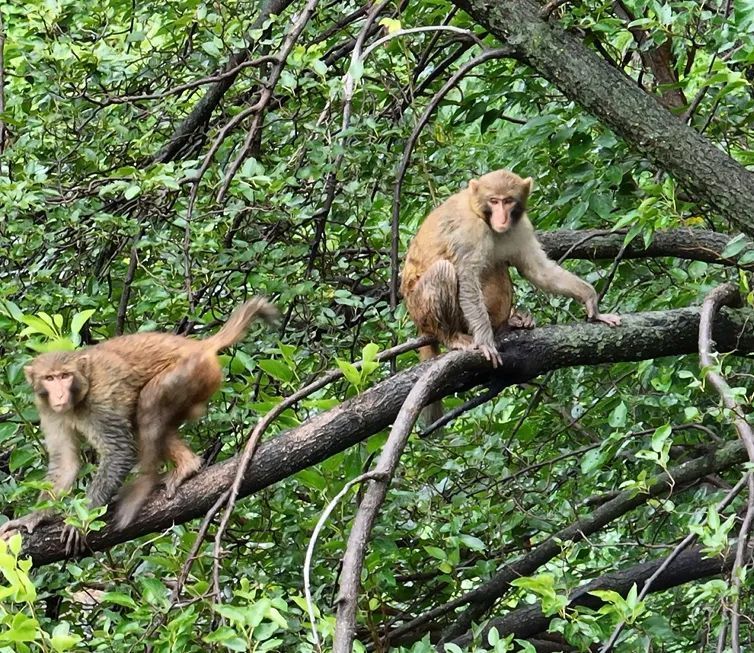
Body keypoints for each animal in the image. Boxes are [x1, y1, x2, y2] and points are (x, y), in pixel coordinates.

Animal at [0, 298, 276, 552]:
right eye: (49, 378)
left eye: (65, 376)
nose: (59, 395)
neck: (80, 395)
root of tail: (200, 345)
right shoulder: (48, 410)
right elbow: (66, 463)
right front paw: (33, 518)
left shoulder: (99, 404)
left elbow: (119, 452)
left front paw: (83, 518)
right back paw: (186, 464)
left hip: (191, 373)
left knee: (148, 405)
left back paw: (150, 483)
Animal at [400, 168, 616, 422]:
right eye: (494, 201)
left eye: (508, 201)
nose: (502, 218)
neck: (480, 213)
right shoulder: (470, 231)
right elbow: (467, 277)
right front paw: (485, 341)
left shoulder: (521, 226)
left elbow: (538, 269)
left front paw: (592, 301)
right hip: (420, 310)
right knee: (445, 270)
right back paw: (453, 336)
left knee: (498, 264)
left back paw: (508, 324)